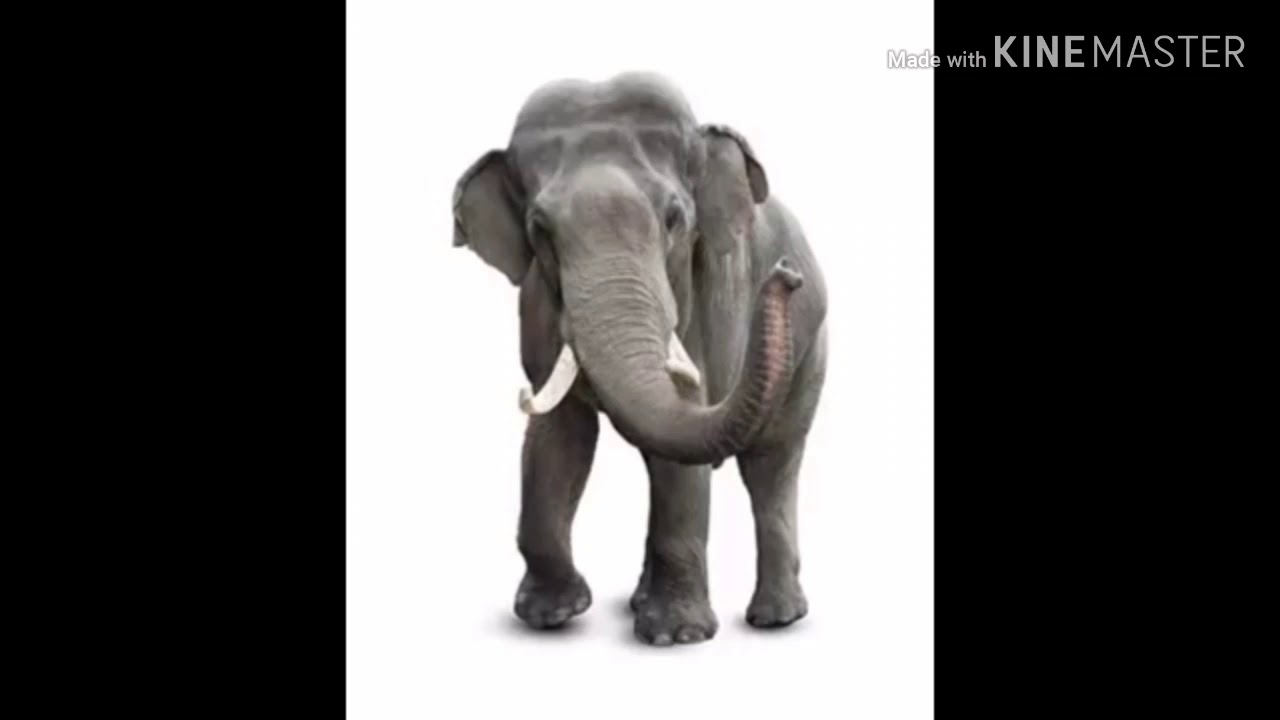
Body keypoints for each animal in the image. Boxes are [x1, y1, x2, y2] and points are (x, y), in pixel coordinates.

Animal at [451, 72, 827, 645]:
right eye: (539, 229)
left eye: (674, 219)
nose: (785, 275)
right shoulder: (537, 306)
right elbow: (557, 436)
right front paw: (552, 615)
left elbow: (681, 444)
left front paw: (676, 637)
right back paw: (640, 602)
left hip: (811, 346)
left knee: (772, 465)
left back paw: (776, 618)